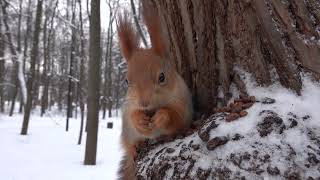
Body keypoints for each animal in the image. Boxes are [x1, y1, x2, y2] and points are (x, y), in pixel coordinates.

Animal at [117, 1, 192, 179]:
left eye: (162, 77)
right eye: (126, 81)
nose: (144, 103)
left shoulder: (183, 103)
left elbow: (177, 118)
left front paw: (162, 117)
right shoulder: (128, 108)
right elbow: (132, 116)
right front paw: (140, 120)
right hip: (126, 134)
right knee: (128, 145)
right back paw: (134, 147)